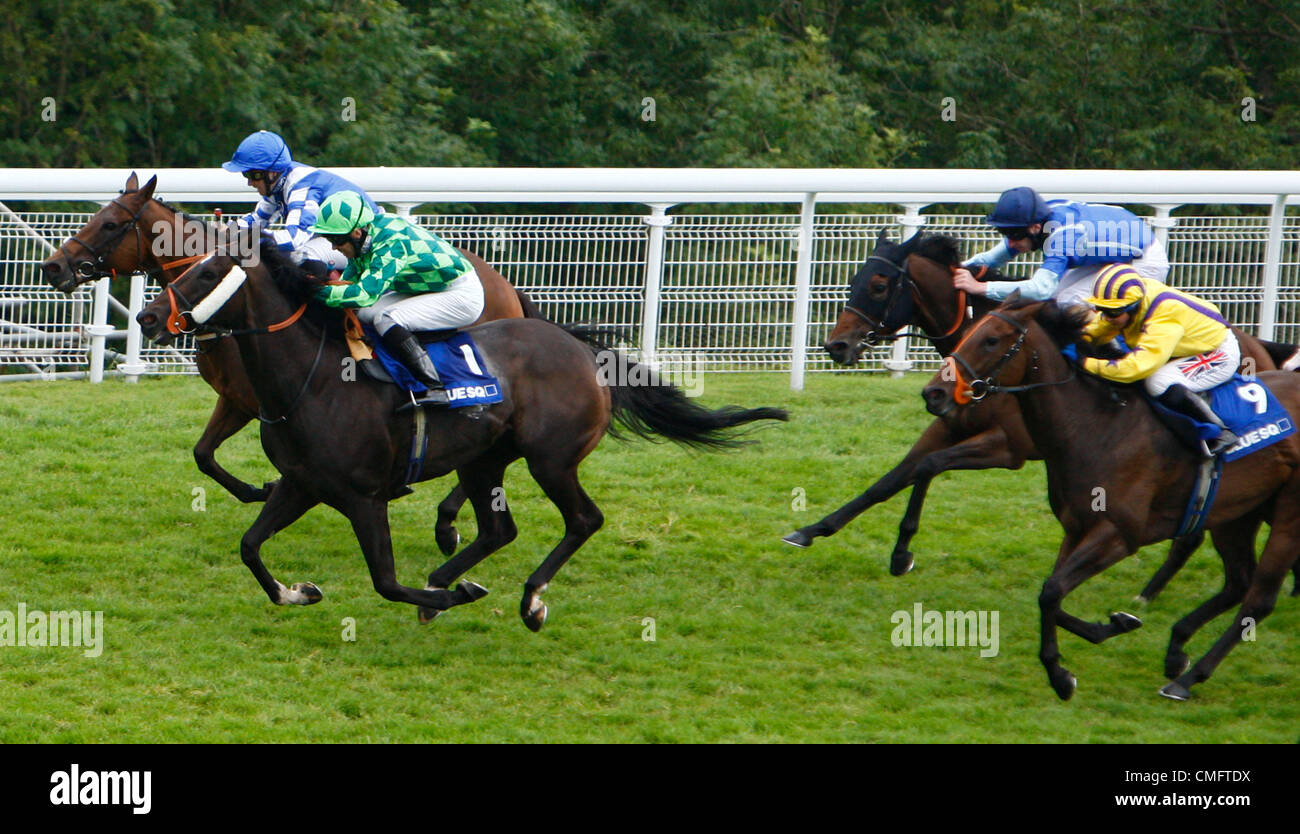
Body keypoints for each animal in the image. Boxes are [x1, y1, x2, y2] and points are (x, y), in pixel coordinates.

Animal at [131, 244, 785, 626]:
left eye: (208, 273)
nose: (145, 316)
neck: (311, 381)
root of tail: (584, 352)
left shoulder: (363, 496)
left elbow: (386, 581)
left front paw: (448, 599)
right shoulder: (300, 484)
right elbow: (249, 546)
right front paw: (297, 592)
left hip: (551, 459)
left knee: (583, 520)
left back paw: (527, 599)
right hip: (483, 460)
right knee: (499, 529)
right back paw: (451, 577)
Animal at [920, 296, 1300, 696]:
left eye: (991, 340)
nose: (934, 393)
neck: (1101, 426)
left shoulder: (1118, 534)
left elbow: (1051, 591)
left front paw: (1060, 676)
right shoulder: (1076, 528)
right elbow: (1051, 594)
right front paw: (1115, 625)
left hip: (1287, 515)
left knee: (1258, 600)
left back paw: (1187, 678)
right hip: (1238, 512)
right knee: (1238, 581)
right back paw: (1177, 649)